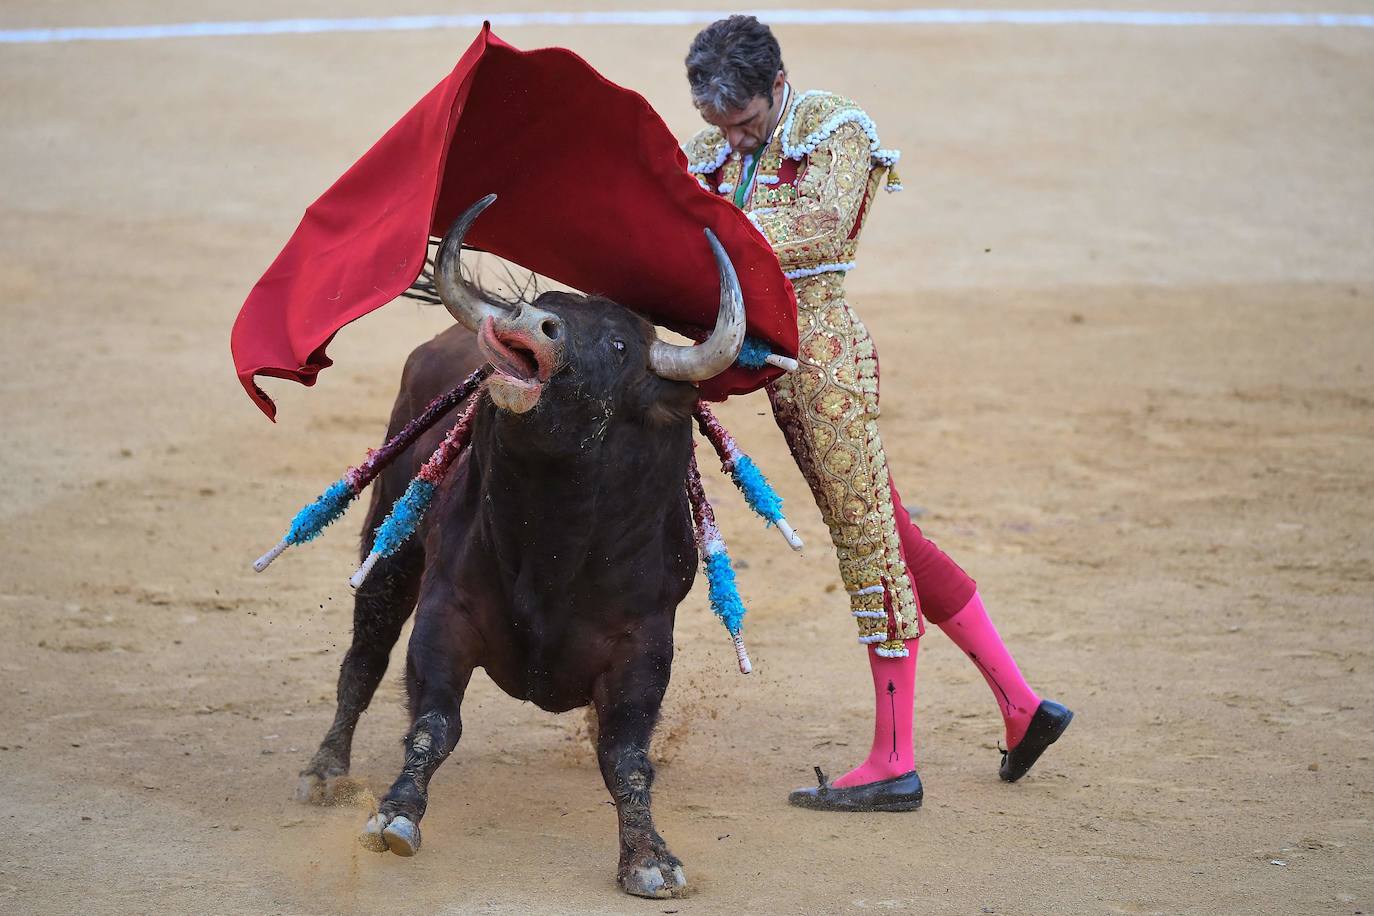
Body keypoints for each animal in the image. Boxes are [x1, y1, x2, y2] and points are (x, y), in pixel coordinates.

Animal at [296, 197, 747, 900]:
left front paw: (649, 857)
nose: (529, 320)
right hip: (388, 550)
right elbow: (432, 724)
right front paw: (395, 817)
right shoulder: (446, 613)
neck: (554, 537)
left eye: (620, 344)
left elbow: (626, 756)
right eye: (545, 300)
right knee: (364, 659)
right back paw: (325, 772)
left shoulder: (645, 642)